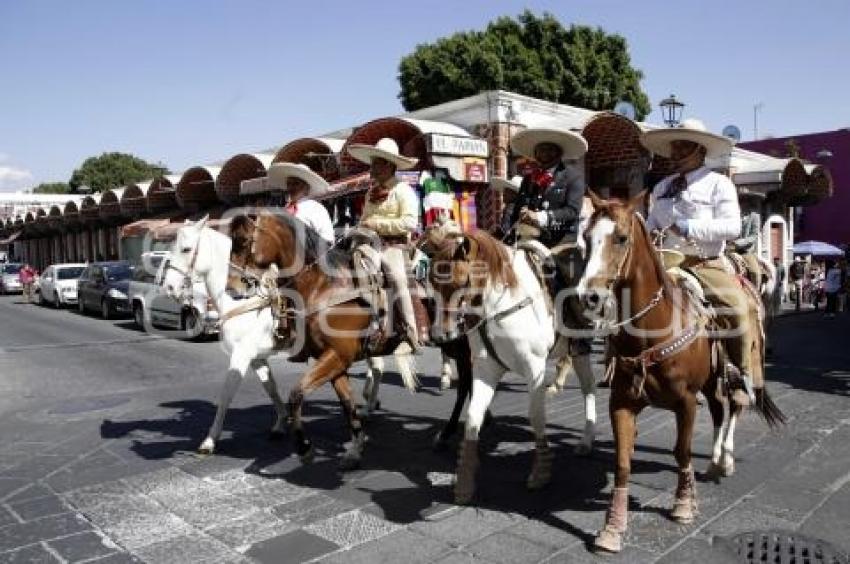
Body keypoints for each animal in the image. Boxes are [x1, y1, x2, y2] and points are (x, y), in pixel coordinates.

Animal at [160, 218, 288, 456]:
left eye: (186, 249)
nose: (169, 287)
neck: (238, 304)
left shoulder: (241, 356)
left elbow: (226, 394)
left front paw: (210, 440)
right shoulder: (258, 359)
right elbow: (271, 388)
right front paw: (281, 424)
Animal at [572, 192, 784, 552]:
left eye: (621, 238)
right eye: (586, 237)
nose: (589, 297)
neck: (651, 331)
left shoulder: (685, 402)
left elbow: (681, 451)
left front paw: (684, 505)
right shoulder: (621, 403)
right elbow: (623, 463)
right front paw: (612, 528)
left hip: (738, 368)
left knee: (735, 405)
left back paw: (725, 460)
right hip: (710, 382)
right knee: (718, 411)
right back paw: (713, 461)